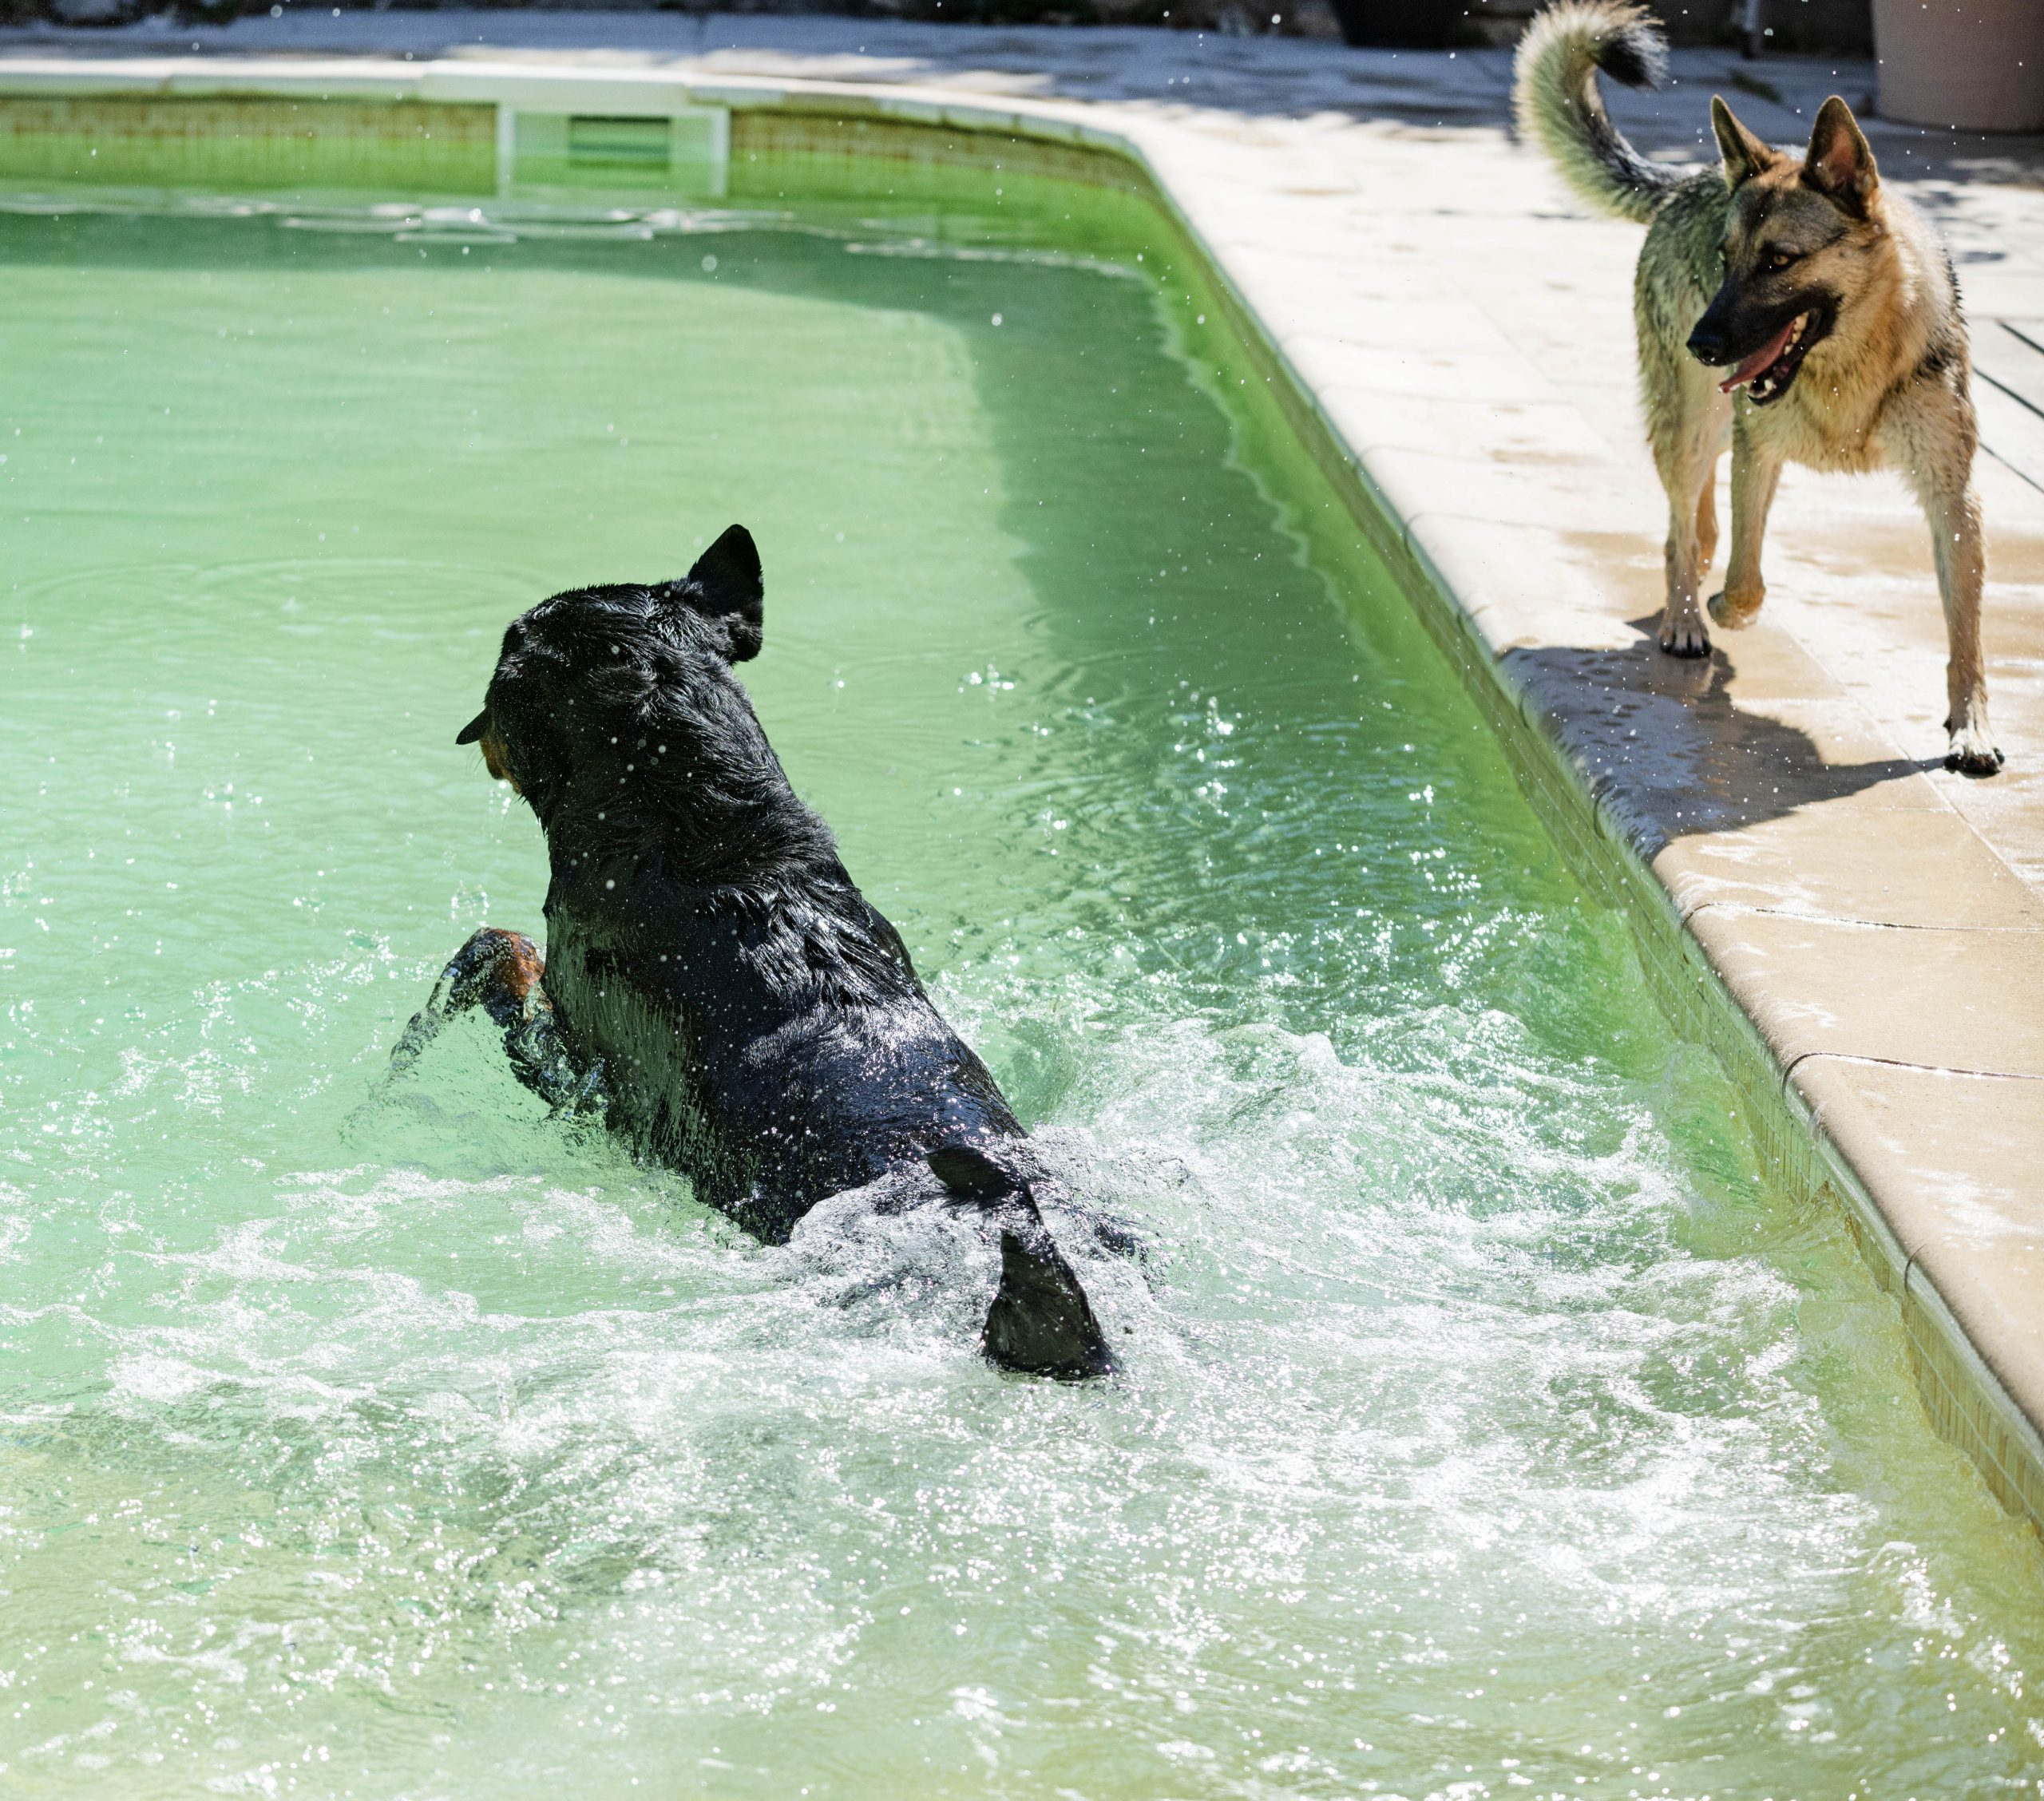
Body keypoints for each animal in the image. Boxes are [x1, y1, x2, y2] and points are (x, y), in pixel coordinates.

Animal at [1512, 0, 2002, 764]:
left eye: (1778, 262)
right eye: (1726, 257)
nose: (1703, 344)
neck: (1849, 367)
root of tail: (1690, 180)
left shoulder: (1953, 498)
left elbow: (1966, 632)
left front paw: (1971, 726)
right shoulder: (1759, 451)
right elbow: (1746, 582)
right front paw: (1719, 609)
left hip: (1713, 428)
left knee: (1701, 523)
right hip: (1691, 429)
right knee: (1680, 531)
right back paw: (1686, 617)